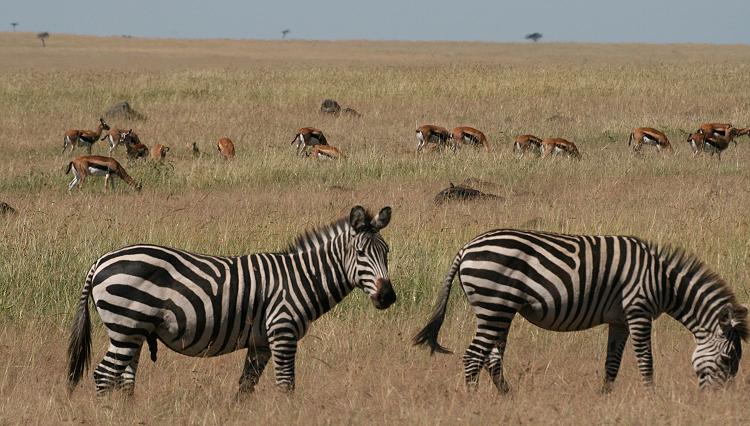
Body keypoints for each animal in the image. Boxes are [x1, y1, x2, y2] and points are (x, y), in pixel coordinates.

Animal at [69, 206, 400, 396]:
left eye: (386, 252)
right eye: (361, 253)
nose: (388, 297)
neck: (302, 278)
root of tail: (100, 260)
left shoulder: (260, 343)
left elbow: (245, 388)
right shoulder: (283, 332)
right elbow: (286, 386)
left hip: (133, 332)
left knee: (124, 379)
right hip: (126, 325)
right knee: (103, 375)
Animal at [414, 230, 748, 392]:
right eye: (728, 359)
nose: (717, 402)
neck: (663, 281)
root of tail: (466, 248)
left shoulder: (619, 320)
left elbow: (612, 362)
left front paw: (605, 397)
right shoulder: (638, 310)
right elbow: (646, 360)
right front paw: (653, 397)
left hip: (500, 310)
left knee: (491, 357)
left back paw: (507, 397)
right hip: (494, 304)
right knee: (474, 356)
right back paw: (473, 402)